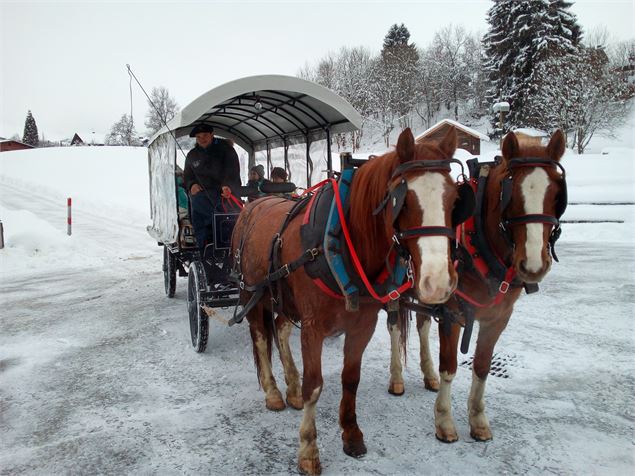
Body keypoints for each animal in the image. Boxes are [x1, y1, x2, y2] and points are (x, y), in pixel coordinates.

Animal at [231, 128, 470, 474]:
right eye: (403, 202)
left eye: (454, 200)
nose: (437, 281)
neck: (341, 241)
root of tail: (254, 204)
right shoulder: (313, 327)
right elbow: (315, 385)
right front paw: (308, 448)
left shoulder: (362, 324)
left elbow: (350, 378)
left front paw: (351, 433)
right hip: (253, 293)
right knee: (262, 337)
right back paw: (274, 391)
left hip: (283, 301)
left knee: (280, 329)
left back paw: (290, 387)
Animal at [386, 127, 568, 442]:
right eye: (511, 195)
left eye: (557, 193)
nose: (533, 265)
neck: (479, 244)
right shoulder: (452, 315)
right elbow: (450, 367)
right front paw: (444, 420)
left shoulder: (498, 318)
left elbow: (482, 367)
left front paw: (478, 419)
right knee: (395, 326)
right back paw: (397, 377)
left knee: (422, 325)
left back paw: (428, 374)